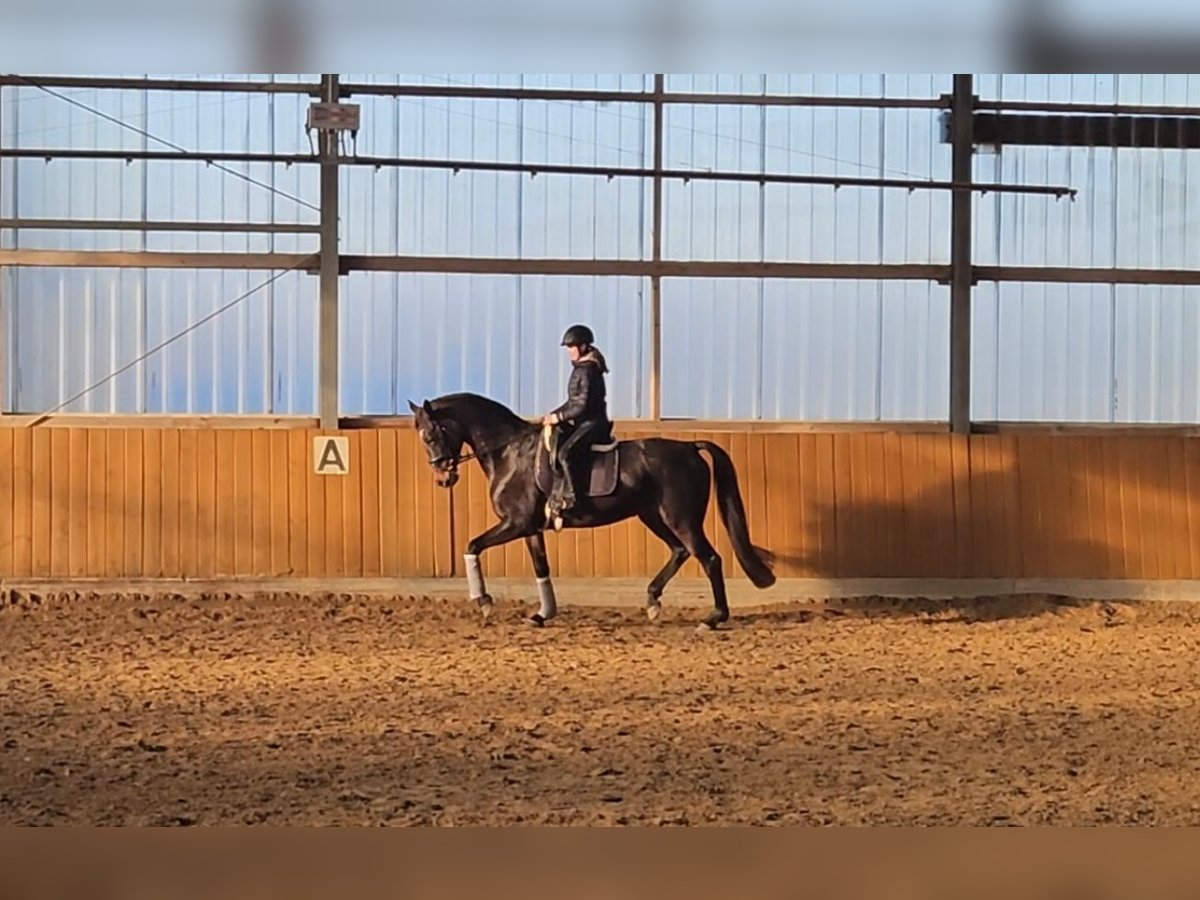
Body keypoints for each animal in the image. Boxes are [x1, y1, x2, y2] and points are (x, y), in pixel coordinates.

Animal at [408, 391, 772, 628]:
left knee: (709, 558)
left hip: (681, 519)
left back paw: (713, 618)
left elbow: (472, 545)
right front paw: (542, 614)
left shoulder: (516, 523)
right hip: (653, 516)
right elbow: (541, 568)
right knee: (680, 552)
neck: (510, 452)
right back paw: (653, 602)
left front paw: (483, 602)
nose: (443, 477)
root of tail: (688, 447)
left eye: (431, 434)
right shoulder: (530, 529)